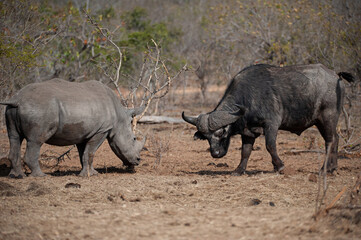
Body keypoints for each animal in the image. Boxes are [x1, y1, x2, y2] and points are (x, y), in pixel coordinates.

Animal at [1, 79, 145, 178]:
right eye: (133, 139)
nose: (138, 160)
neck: (120, 118)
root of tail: (17, 99)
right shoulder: (101, 130)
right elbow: (91, 152)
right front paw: (91, 175)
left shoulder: (84, 133)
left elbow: (84, 154)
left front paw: (87, 173)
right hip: (39, 109)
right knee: (36, 141)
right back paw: (40, 176)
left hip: (12, 110)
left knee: (14, 137)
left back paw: (17, 176)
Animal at [181, 63, 352, 174]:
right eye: (206, 137)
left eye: (221, 133)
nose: (215, 153)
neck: (249, 97)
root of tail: (336, 76)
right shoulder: (248, 132)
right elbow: (245, 151)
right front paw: (239, 170)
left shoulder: (271, 124)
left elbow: (270, 146)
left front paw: (280, 166)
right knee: (335, 138)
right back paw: (332, 168)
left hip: (327, 118)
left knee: (330, 140)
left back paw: (325, 169)